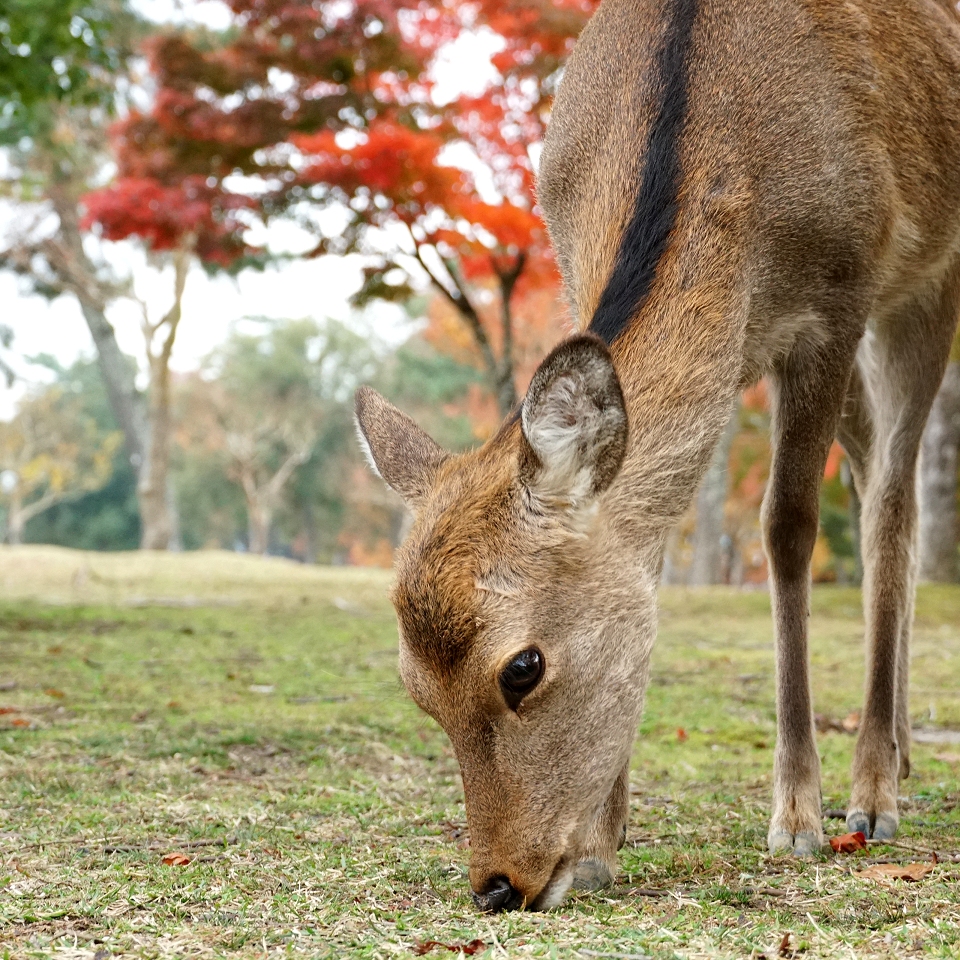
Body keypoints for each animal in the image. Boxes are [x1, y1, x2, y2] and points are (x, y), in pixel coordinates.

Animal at [354, 0, 960, 916]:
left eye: (522, 668)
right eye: (415, 688)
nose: (497, 885)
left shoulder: (840, 292)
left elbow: (787, 527)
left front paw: (796, 816)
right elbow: (650, 547)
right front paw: (603, 844)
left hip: (927, 282)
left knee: (894, 492)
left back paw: (875, 792)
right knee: (879, 476)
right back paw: (903, 754)